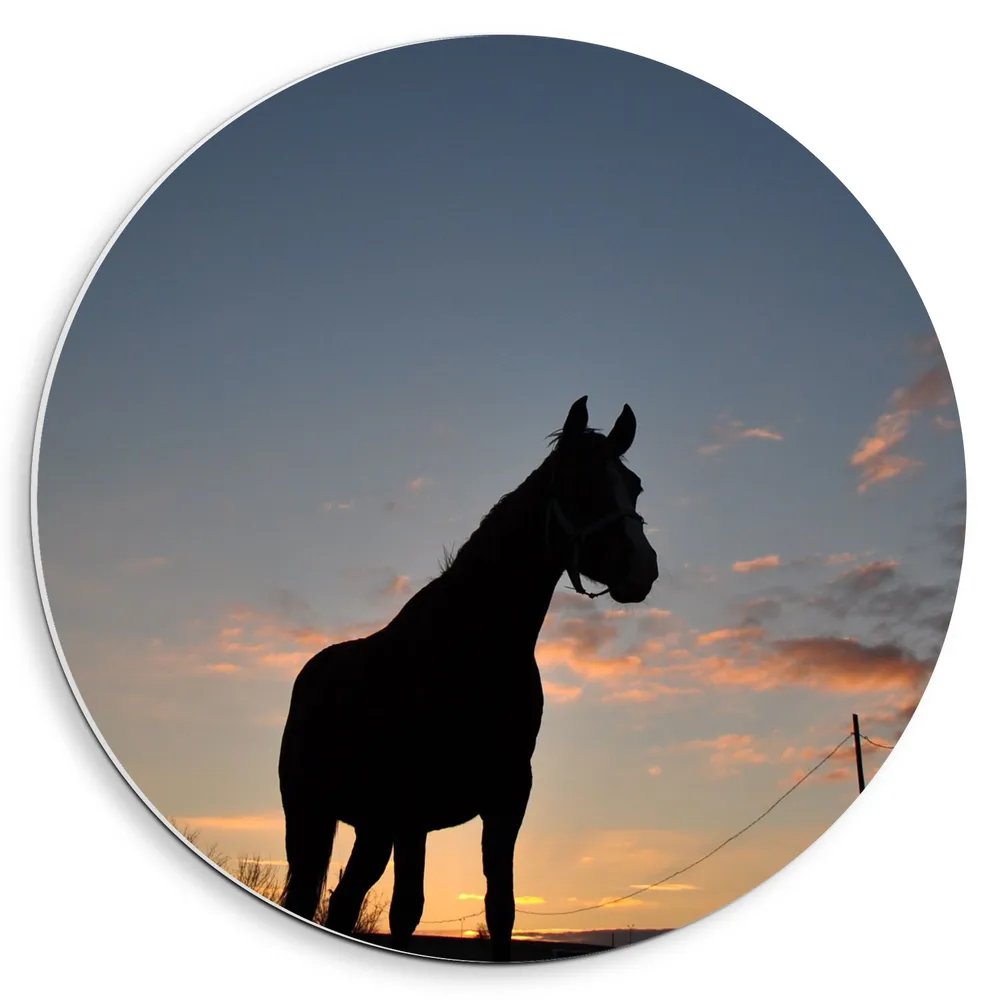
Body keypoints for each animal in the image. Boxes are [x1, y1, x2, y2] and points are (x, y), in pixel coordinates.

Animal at [277, 395, 659, 961]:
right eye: (578, 484)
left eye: (633, 486)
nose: (642, 569)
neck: (472, 648)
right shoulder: (409, 807)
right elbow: (406, 912)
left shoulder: (505, 800)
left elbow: (501, 911)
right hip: (315, 816)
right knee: (311, 896)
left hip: (375, 828)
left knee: (345, 902)